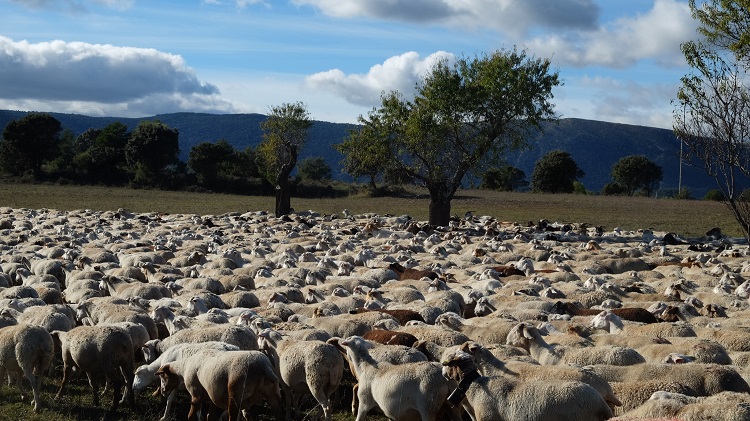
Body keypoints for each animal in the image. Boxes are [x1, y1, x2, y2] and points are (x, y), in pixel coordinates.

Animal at [155, 349, 284, 421]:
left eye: (162, 376)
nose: (163, 392)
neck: (184, 367)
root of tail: (265, 368)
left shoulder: (196, 394)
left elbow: (190, 416)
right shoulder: (211, 395)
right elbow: (209, 416)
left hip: (235, 393)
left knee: (233, 418)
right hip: (273, 395)